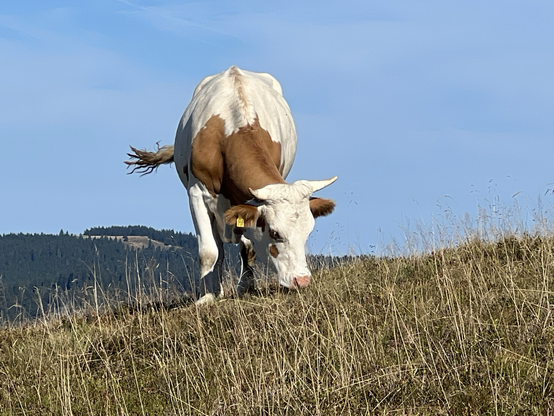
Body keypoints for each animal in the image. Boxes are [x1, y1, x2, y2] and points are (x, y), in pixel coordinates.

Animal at [125, 66, 336, 304]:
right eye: (274, 233)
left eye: (308, 231)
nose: (301, 280)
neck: (233, 130)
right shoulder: (197, 194)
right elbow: (208, 251)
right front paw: (206, 296)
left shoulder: (247, 203)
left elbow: (248, 247)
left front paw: (246, 286)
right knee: (218, 248)